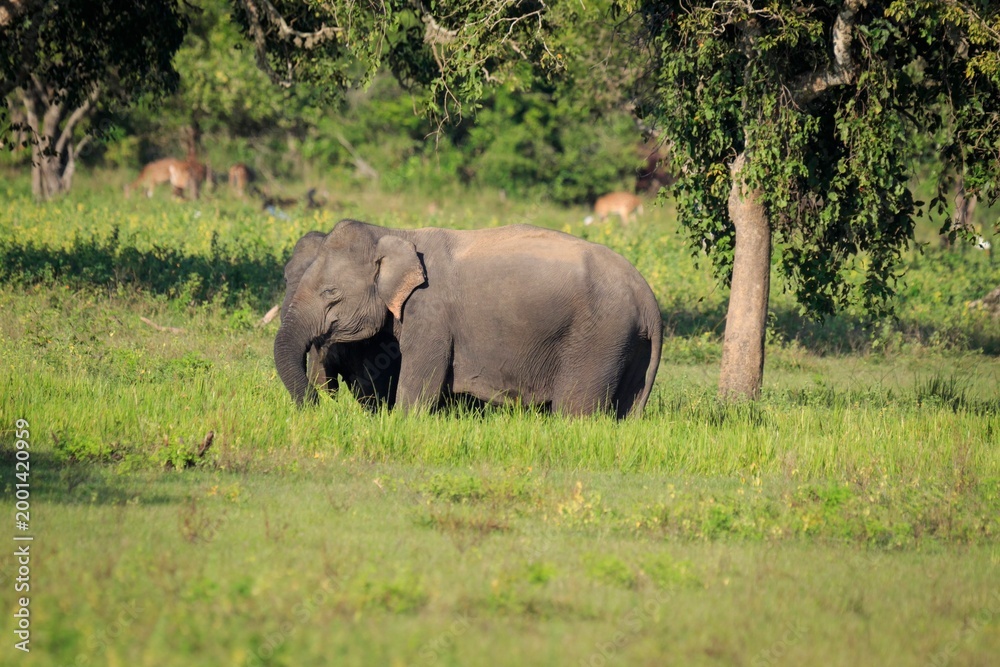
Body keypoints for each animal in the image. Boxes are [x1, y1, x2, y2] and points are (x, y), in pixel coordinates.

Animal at [275, 220, 662, 418]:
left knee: (574, 410)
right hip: (627, 343)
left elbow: (420, 384)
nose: (317, 407)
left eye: (330, 293)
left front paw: (401, 420)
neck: (396, 233)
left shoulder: (431, 314)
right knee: (624, 407)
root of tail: (648, 298)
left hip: (598, 338)